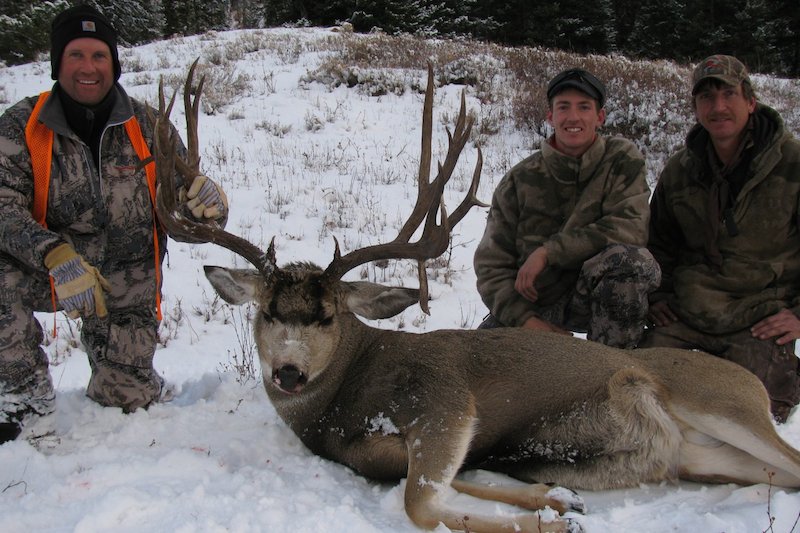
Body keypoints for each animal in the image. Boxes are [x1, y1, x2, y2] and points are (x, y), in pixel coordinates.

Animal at [151, 62, 800, 533]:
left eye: (329, 315)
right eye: (265, 311)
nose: (287, 372)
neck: (343, 399)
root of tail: (750, 384)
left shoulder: (445, 400)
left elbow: (421, 503)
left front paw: (552, 520)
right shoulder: (378, 450)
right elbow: (442, 477)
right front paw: (556, 498)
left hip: (721, 401)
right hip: (704, 455)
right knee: (777, 474)